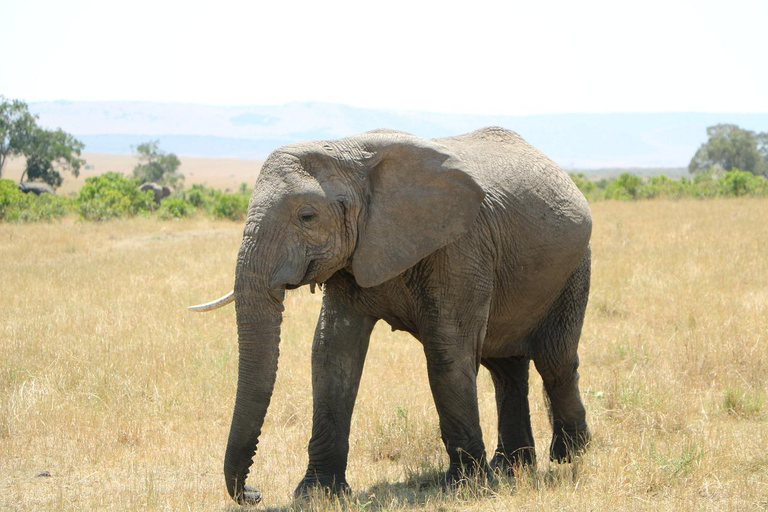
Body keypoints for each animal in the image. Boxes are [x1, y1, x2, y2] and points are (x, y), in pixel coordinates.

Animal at [190, 127, 592, 504]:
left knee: (554, 361)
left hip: (574, 266)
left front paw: (466, 487)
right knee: (505, 369)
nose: (253, 493)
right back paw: (512, 467)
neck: (350, 153)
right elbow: (332, 352)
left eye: (307, 216)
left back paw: (570, 457)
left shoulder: (461, 246)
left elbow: (447, 352)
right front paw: (317, 494)